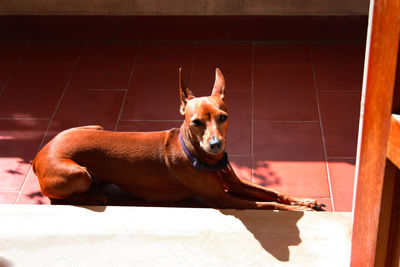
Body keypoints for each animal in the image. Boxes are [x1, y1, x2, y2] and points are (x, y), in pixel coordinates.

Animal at [32, 68, 324, 211]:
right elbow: (269, 204)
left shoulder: (235, 183)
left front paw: (307, 201)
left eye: (223, 117)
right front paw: (300, 211)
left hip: (97, 127)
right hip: (76, 174)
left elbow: (274, 192)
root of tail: (39, 154)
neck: (204, 159)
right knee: (57, 199)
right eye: (196, 122)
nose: (216, 145)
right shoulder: (224, 199)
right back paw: (94, 197)